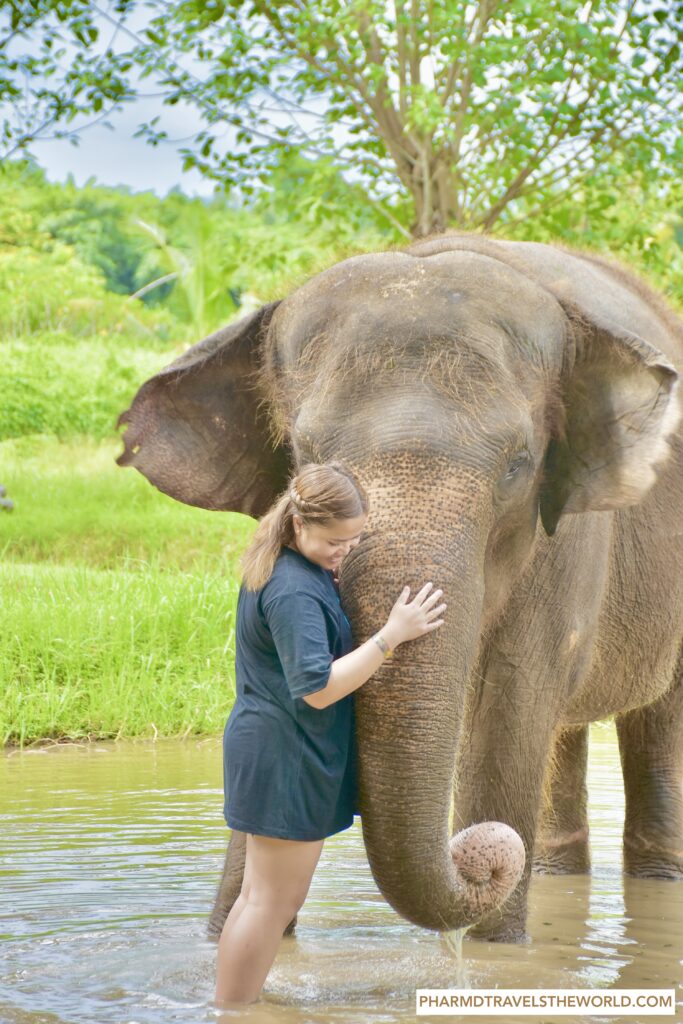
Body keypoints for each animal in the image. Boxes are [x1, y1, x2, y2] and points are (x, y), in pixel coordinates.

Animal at [117, 234, 683, 942]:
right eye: (303, 454)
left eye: (518, 466)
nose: (479, 856)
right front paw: (228, 939)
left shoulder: (567, 542)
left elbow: (514, 693)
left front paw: (497, 952)